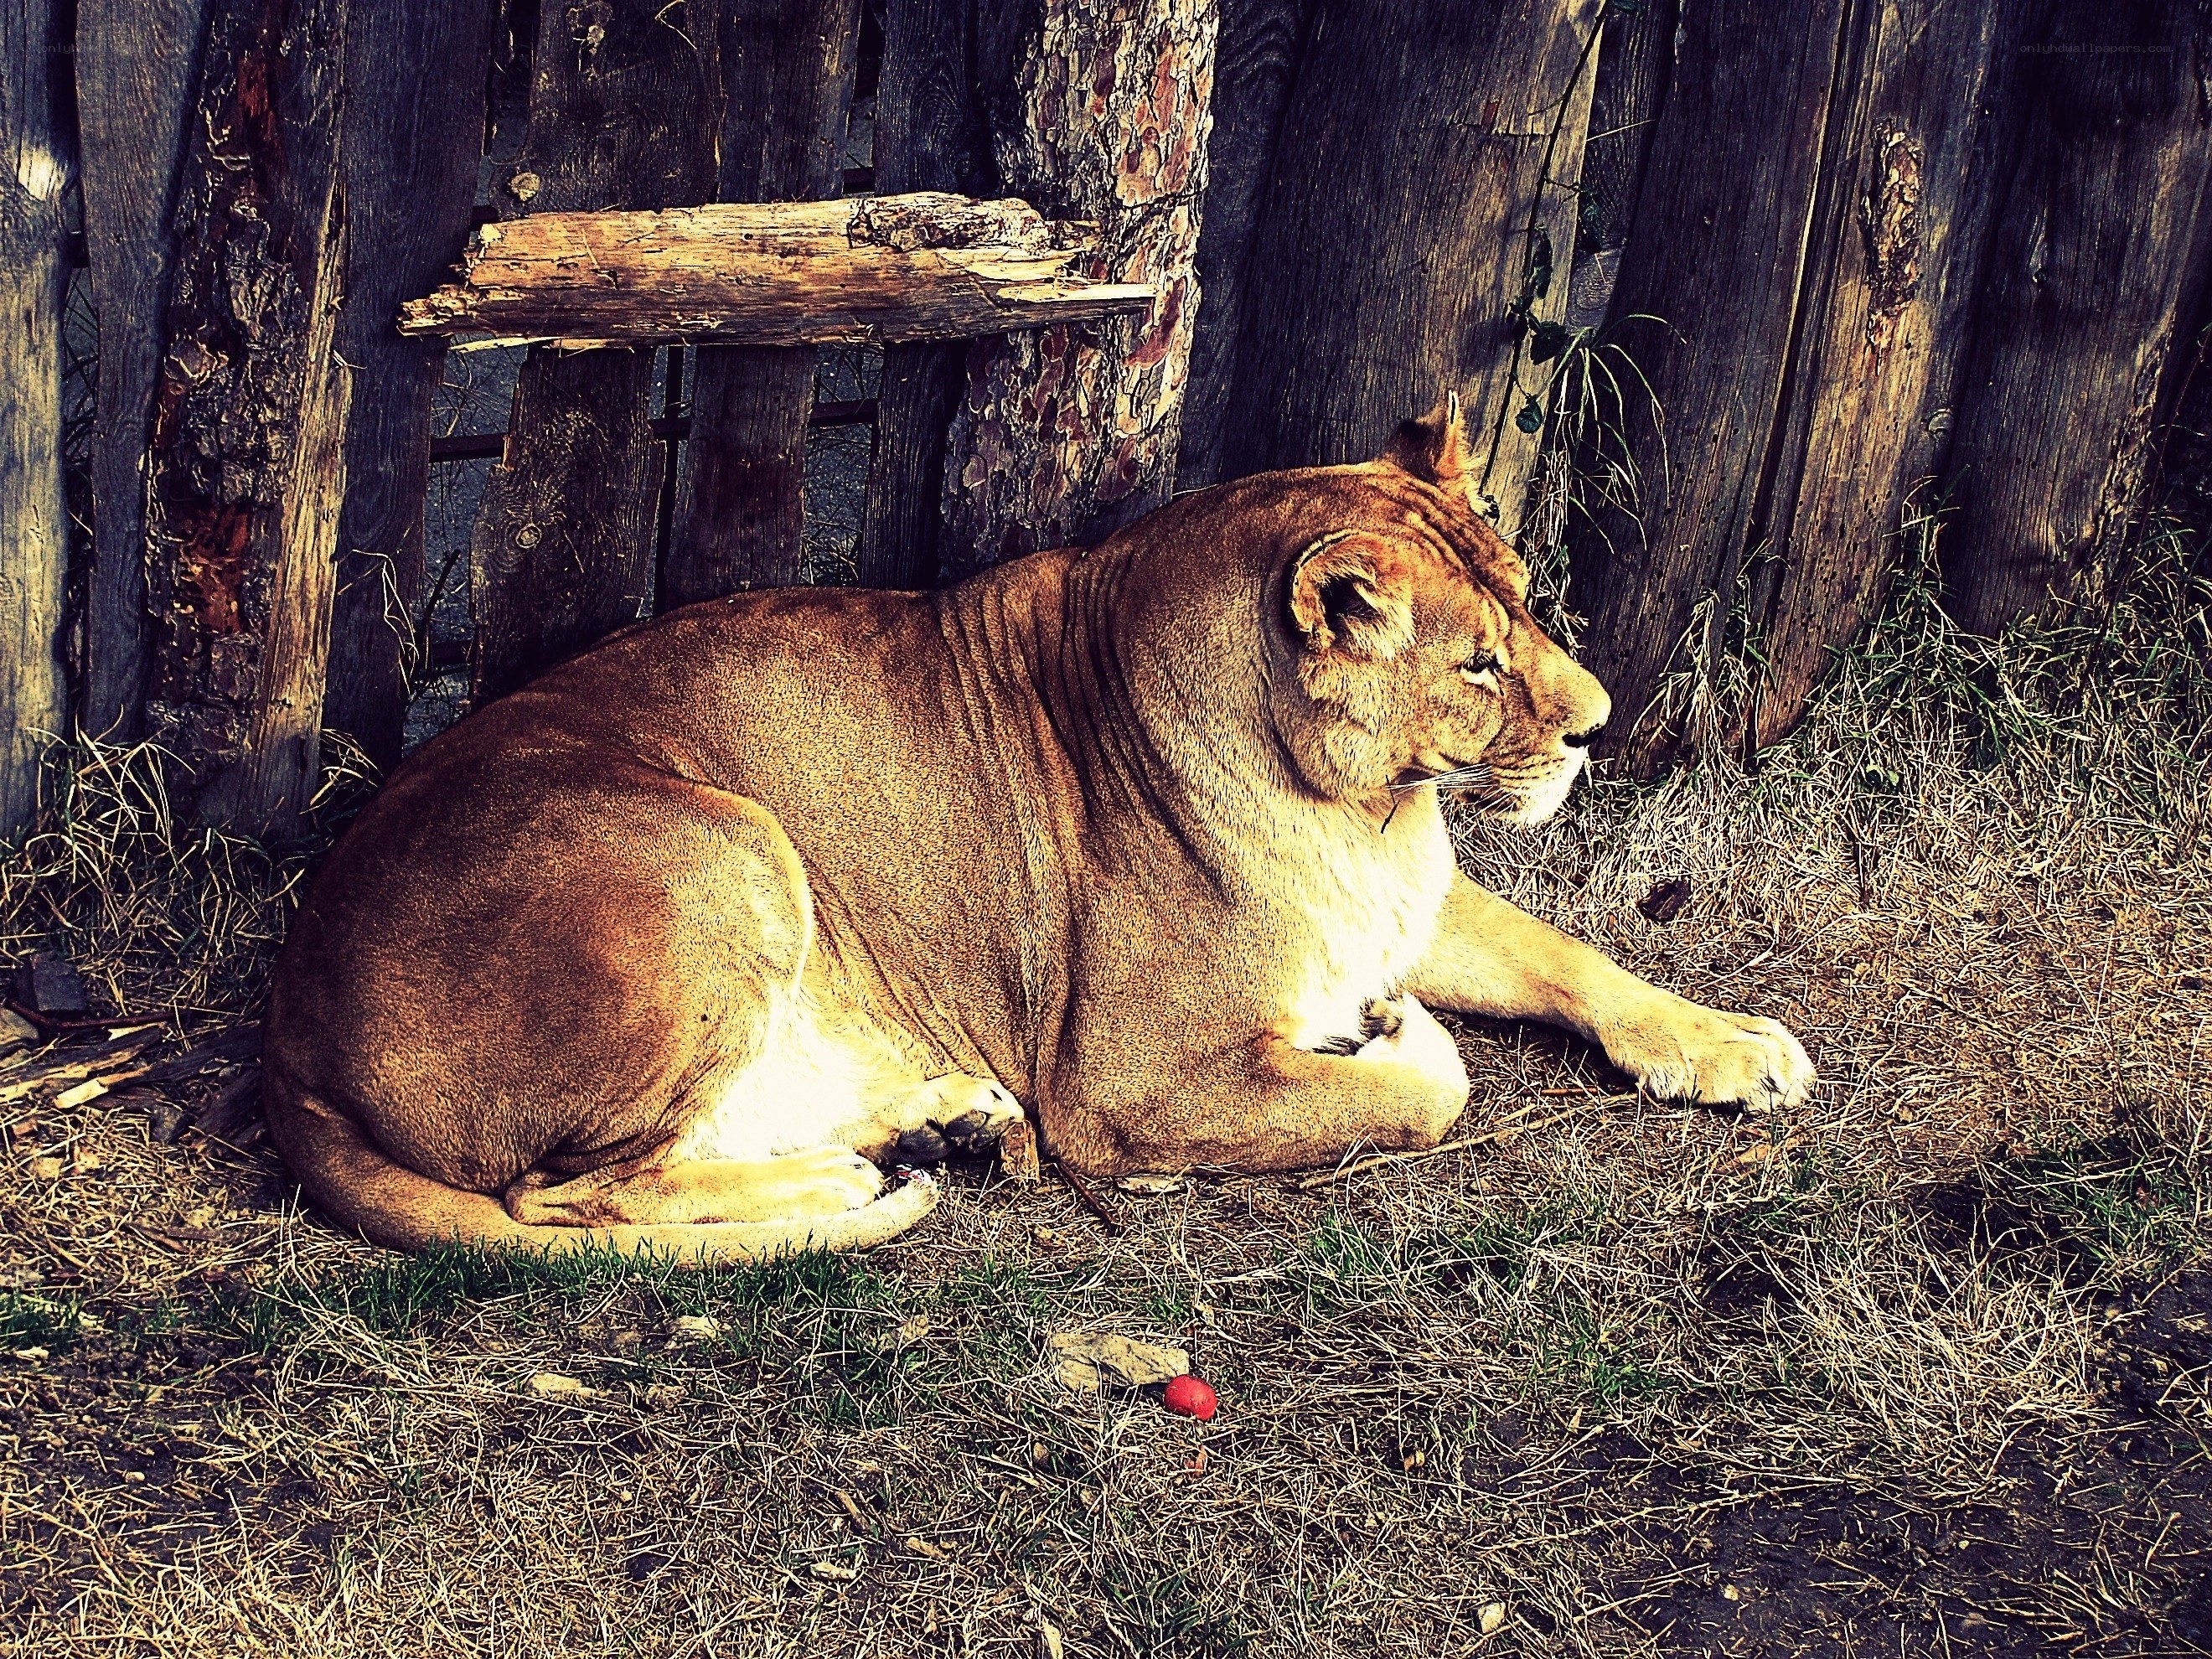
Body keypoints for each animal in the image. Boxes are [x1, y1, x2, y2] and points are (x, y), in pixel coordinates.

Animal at [263, 401, 1813, 1260]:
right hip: (721, 841)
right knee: (562, 1192)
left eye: (1531, 605)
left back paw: (945, 1119)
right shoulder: (1126, 1085)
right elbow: (1425, 1096)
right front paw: (1393, 1036)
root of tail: (293, 1031)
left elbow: (1575, 959)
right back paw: (849, 1171)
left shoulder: (1409, 900)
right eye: (1480, 667)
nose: (1599, 723)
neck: (1361, 811)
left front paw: (1734, 1045)